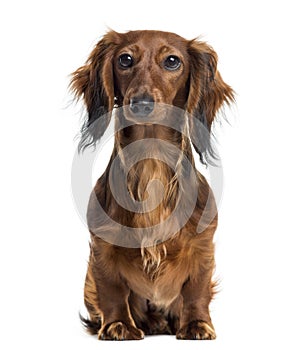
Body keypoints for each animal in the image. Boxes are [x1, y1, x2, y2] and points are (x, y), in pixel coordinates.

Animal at [71, 29, 234, 340]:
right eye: (125, 59)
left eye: (172, 61)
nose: (142, 103)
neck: (151, 162)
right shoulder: (102, 246)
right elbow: (112, 289)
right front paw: (118, 324)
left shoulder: (202, 246)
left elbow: (196, 289)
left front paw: (196, 324)